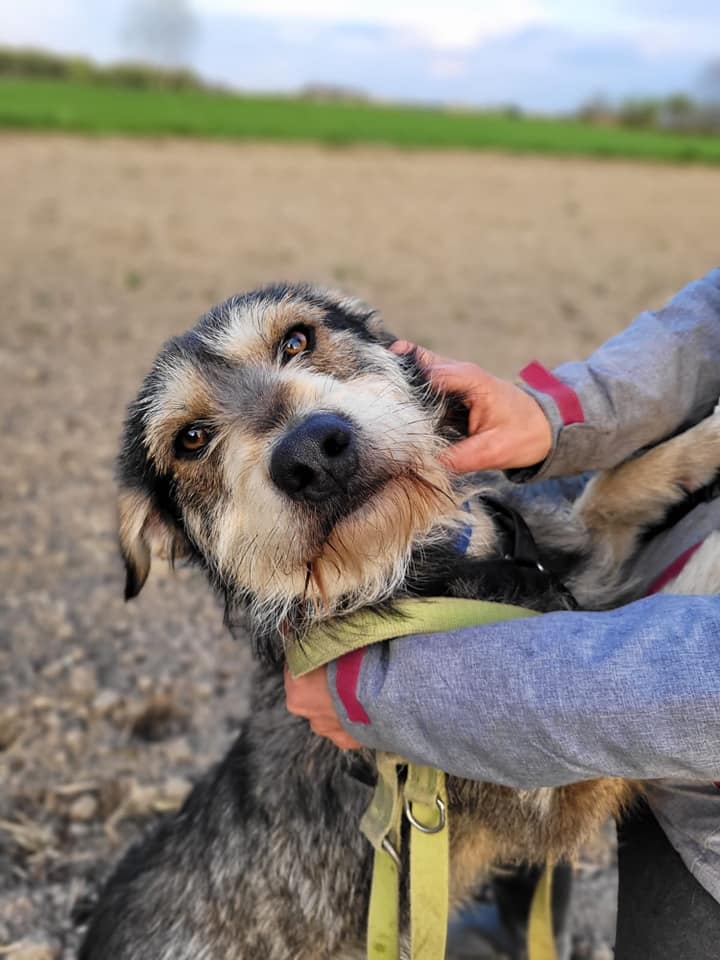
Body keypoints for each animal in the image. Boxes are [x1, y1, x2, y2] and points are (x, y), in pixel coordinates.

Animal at [81, 284, 720, 960]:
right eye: (191, 439)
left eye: (296, 340)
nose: (311, 453)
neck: (417, 562)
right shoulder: (558, 788)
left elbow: (614, 488)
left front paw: (706, 438)